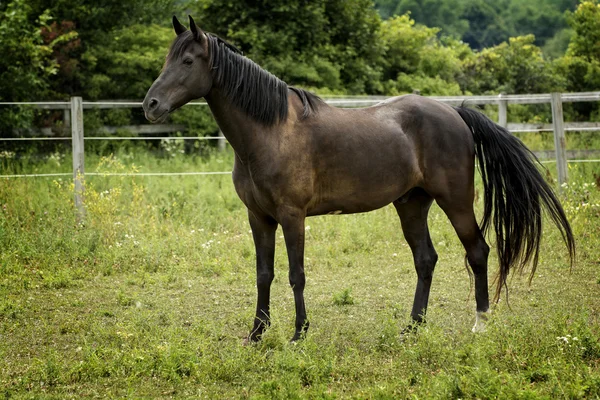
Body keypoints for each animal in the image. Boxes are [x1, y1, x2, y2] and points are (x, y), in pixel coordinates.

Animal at [143, 14, 576, 340]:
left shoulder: (292, 216)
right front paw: (256, 334)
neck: (271, 131)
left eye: (188, 62)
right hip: (411, 204)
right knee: (426, 259)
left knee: (478, 251)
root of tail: (455, 112)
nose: (150, 105)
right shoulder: (259, 217)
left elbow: (296, 274)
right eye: (168, 58)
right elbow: (264, 274)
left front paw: (298, 333)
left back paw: (480, 323)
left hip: (455, 201)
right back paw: (412, 328)